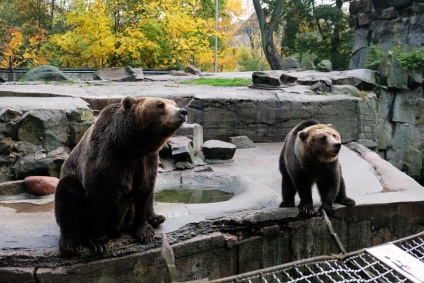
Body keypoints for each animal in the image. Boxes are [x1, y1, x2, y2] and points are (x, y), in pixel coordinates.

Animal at [53, 96, 186, 256]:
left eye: (174, 103)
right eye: (160, 105)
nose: (182, 111)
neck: (132, 146)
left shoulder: (147, 161)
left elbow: (145, 193)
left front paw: (145, 233)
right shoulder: (110, 158)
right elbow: (98, 200)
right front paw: (99, 243)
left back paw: (156, 218)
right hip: (72, 183)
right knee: (68, 193)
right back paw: (71, 244)